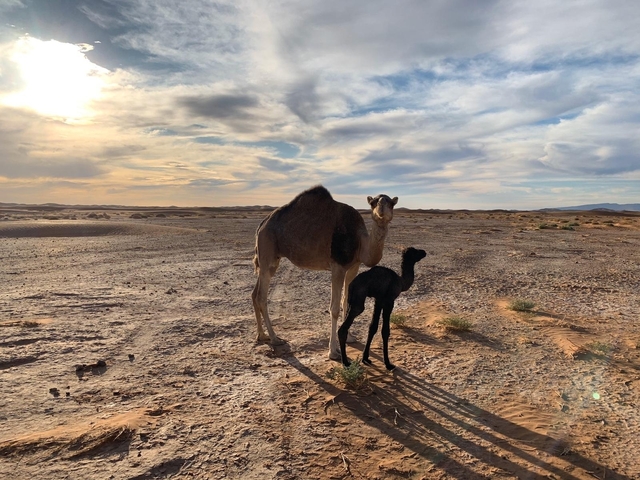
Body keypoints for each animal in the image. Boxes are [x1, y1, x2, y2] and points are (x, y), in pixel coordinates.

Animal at [251, 185, 398, 359]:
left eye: (391, 203)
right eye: (373, 202)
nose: (381, 205)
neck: (360, 242)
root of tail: (262, 224)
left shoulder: (353, 266)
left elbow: (346, 301)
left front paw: (349, 337)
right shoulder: (337, 266)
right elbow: (334, 308)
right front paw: (333, 351)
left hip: (269, 259)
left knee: (255, 294)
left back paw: (261, 335)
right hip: (268, 249)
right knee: (261, 297)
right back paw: (275, 338)